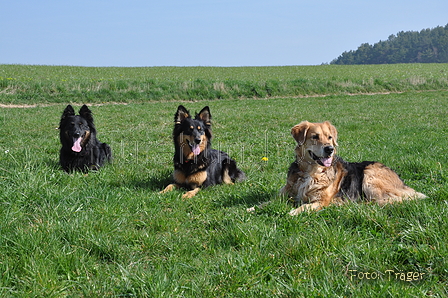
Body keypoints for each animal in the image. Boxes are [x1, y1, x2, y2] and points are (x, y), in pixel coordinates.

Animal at [280, 120, 428, 215]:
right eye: (315, 137)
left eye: (330, 137)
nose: (330, 149)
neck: (311, 172)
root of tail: (402, 183)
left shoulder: (321, 201)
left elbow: (304, 207)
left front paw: (292, 212)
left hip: (370, 175)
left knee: (389, 201)